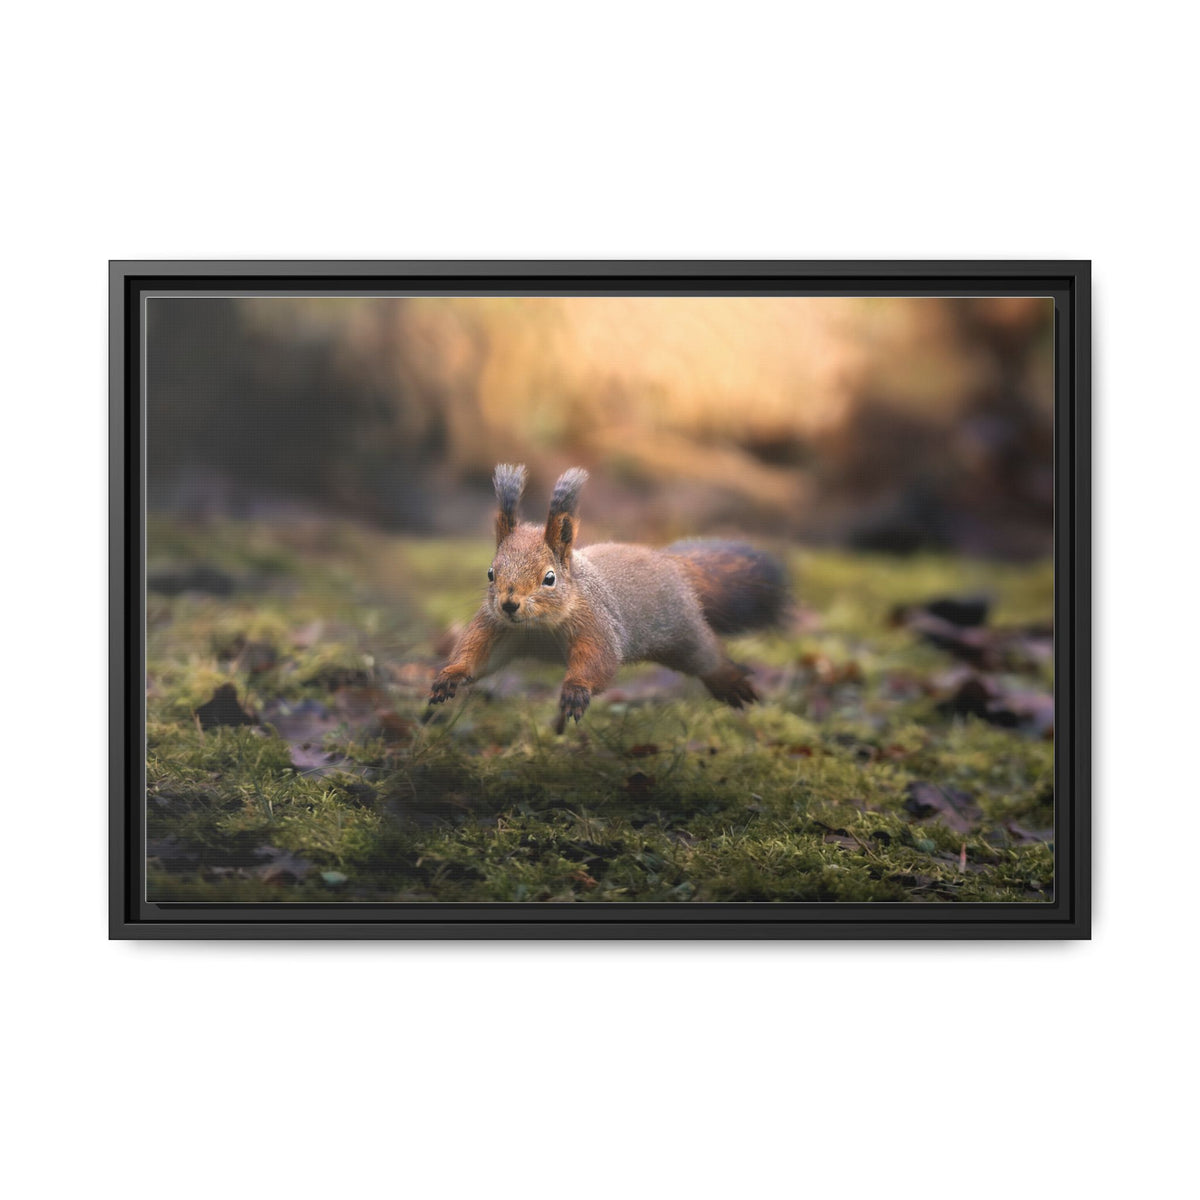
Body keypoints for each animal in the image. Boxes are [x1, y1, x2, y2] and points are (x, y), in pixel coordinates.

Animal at [428, 464, 790, 730]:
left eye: (549, 578)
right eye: (491, 573)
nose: (508, 604)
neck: (538, 627)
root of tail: (671, 563)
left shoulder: (595, 623)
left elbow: (598, 660)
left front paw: (576, 690)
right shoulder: (498, 628)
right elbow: (477, 654)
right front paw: (450, 675)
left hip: (683, 630)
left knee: (707, 654)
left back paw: (730, 680)